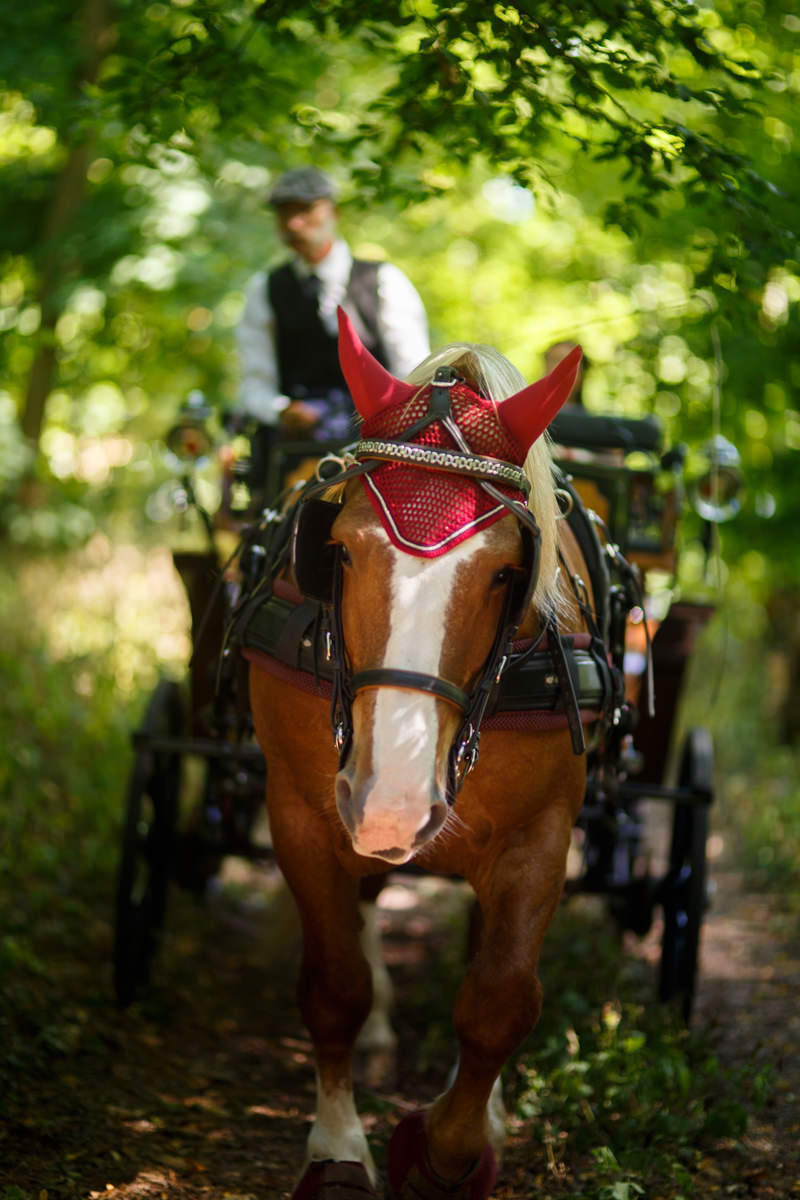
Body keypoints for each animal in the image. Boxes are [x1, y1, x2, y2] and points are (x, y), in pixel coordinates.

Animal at [250, 312, 599, 1200]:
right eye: (336, 551)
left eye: (508, 571)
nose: (395, 804)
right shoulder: (302, 813)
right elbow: (334, 984)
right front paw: (340, 1147)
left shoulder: (543, 832)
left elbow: (501, 999)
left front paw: (446, 1149)